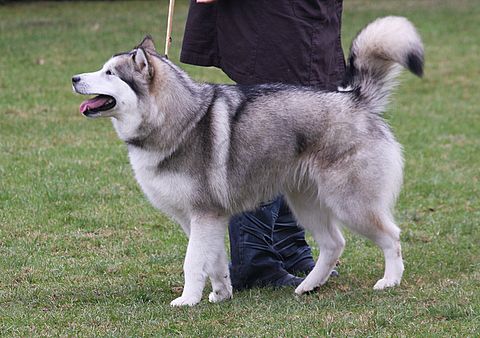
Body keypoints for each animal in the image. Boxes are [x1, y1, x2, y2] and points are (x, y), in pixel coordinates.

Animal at [71, 15, 424, 306]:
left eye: (109, 73)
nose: (74, 78)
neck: (178, 120)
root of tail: (355, 99)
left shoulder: (202, 215)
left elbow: (192, 263)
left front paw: (187, 300)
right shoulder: (204, 219)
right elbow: (214, 262)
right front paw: (221, 293)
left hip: (350, 204)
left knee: (392, 236)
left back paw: (390, 280)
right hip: (306, 203)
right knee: (334, 243)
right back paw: (308, 285)